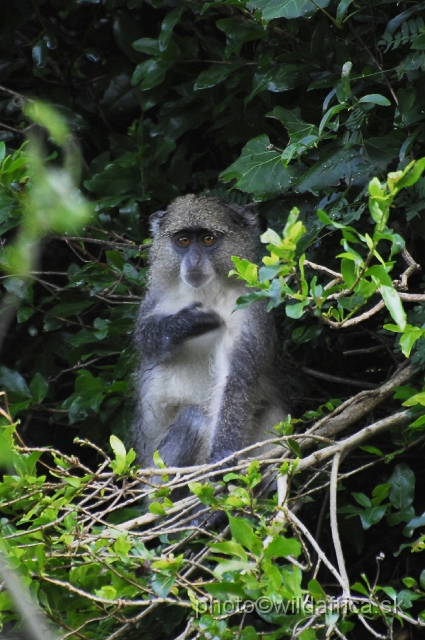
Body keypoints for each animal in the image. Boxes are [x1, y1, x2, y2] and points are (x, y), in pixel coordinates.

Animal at [131, 195, 286, 496]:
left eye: (207, 239)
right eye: (182, 240)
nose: (193, 261)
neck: (208, 291)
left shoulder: (250, 306)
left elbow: (236, 378)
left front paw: (223, 456)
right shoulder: (156, 299)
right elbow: (145, 340)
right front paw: (183, 324)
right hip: (154, 475)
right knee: (194, 419)